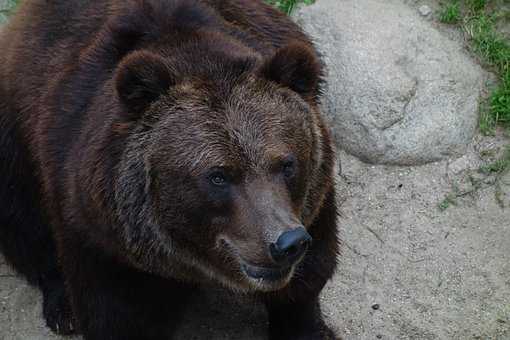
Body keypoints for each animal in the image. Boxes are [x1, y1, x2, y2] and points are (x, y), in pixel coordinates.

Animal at [0, 1, 342, 338]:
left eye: (287, 164)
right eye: (218, 176)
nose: (286, 242)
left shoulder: (314, 205)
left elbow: (309, 275)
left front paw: (305, 325)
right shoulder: (98, 234)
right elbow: (117, 312)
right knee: (24, 220)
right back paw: (63, 308)